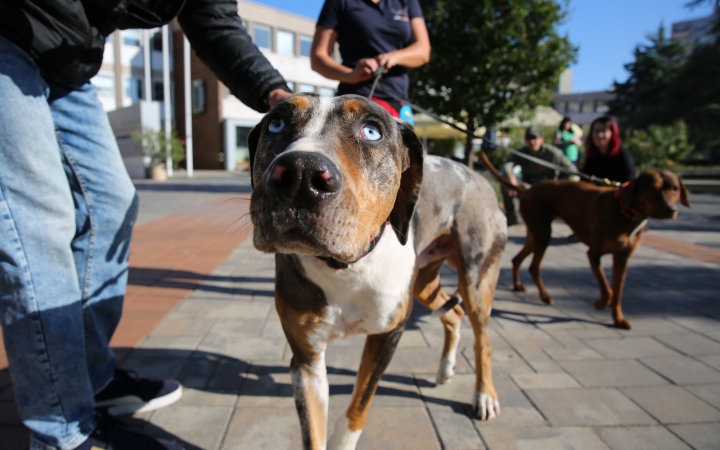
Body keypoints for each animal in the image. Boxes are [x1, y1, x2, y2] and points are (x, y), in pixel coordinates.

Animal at [480, 153, 688, 328]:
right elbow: (608, 290)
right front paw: (600, 303)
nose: (671, 210)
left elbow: (618, 291)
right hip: (542, 234)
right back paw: (545, 296)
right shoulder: (593, 253)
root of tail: (528, 189)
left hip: (536, 233)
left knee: (517, 259)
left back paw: (518, 286)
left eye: (675, 189)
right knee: (533, 267)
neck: (624, 211)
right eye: (652, 188)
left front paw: (618, 319)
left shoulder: (622, 258)